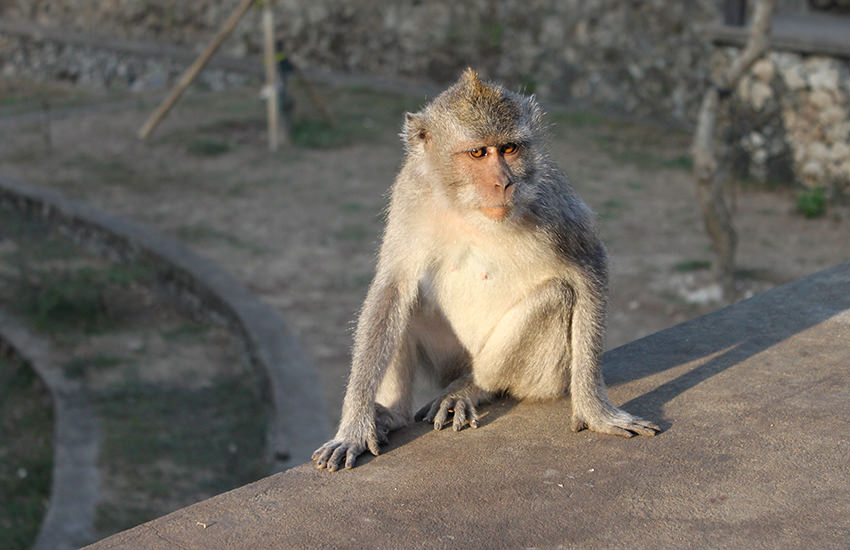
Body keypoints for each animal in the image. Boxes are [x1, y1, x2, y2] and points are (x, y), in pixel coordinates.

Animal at [312, 68, 659, 472]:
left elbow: (590, 265)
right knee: (408, 302)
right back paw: (396, 414)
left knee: (557, 296)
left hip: (542, 375)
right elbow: (393, 287)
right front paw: (353, 427)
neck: (467, 209)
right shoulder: (410, 191)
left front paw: (595, 410)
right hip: (448, 358)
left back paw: (472, 389)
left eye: (509, 149)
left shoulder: (550, 197)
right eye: (478, 152)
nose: (503, 182)